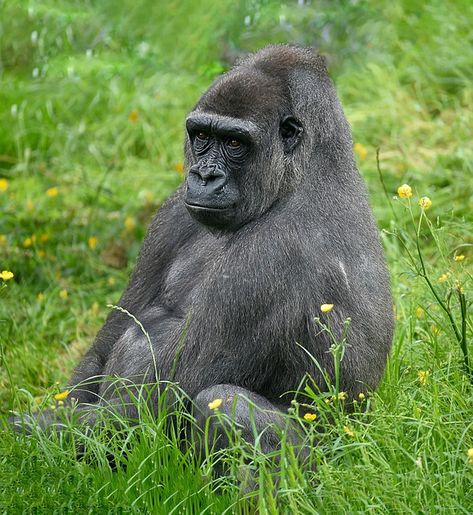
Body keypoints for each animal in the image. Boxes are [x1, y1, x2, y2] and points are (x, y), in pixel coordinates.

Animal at [12, 44, 392, 454]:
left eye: (235, 143)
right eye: (201, 136)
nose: (204, 176)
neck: (304, 172)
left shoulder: (275, 255)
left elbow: (156, 404)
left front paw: (18, 434)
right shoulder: (173, 212)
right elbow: (103, 352)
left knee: (224, 404)